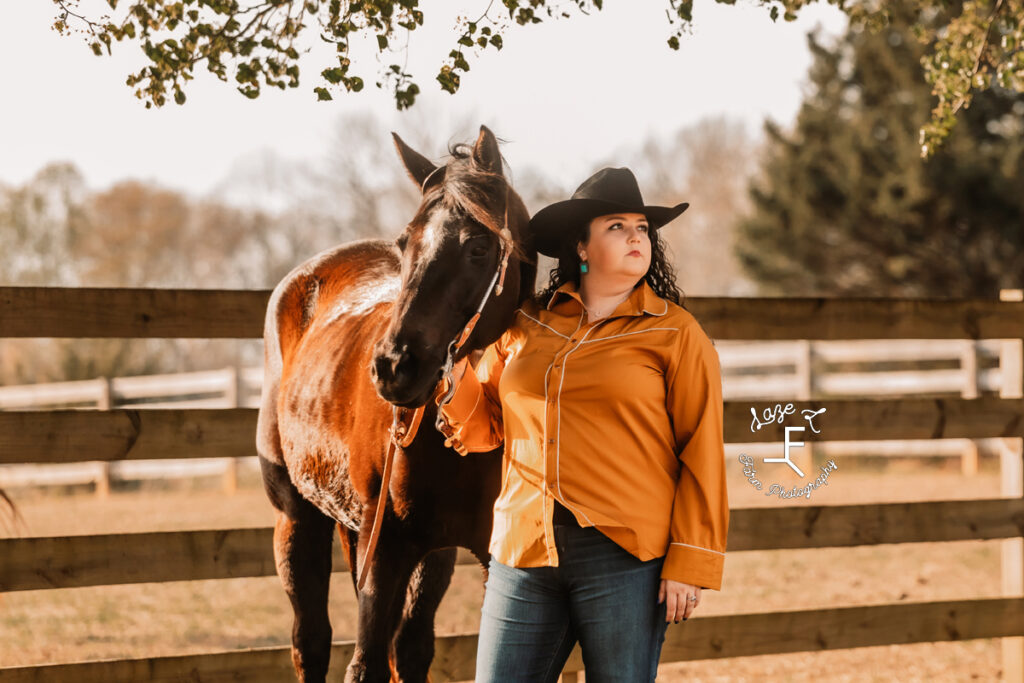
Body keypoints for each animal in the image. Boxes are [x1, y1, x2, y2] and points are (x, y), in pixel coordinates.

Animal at [256, 127, 536, 683]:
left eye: (478, 246)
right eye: (406, 243)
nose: (394, 366)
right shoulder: (384, 550)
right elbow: (364, 663)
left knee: (407, 647)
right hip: (298, 521)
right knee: (311, 642)